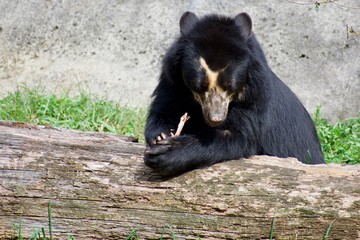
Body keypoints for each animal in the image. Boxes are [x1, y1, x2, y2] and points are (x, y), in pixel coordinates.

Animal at [144, 11, 326, 176]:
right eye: (199, 86)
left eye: (229, 85)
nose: (215, 118)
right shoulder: (173, 82)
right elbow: (165, 108)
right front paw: (160, 135)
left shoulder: (255, 99)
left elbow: (238, 136)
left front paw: (166, 153)